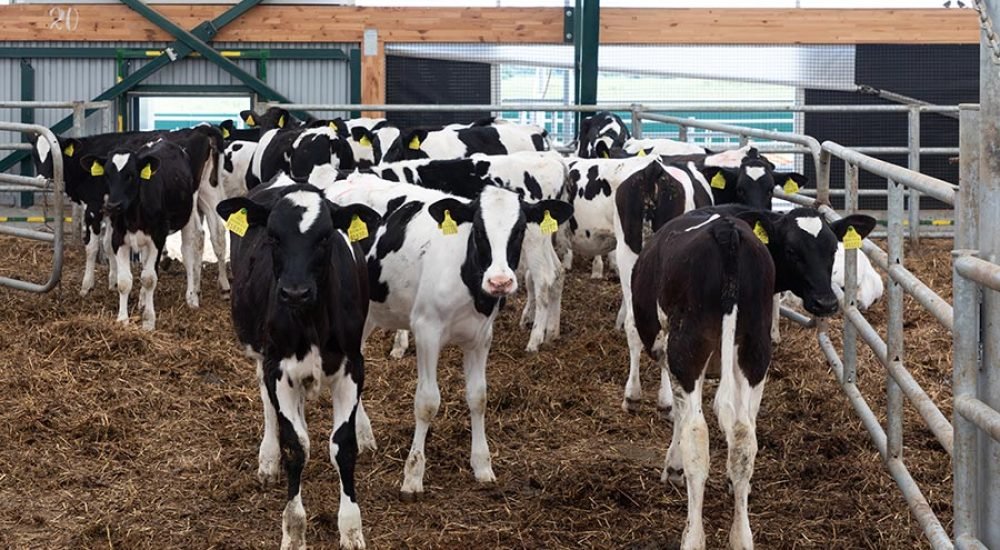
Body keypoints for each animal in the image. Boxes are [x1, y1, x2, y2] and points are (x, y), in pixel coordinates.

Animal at [83, 142, 202, 332]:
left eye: (131, 175)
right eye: (107, 175)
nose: (113, 206)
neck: (134, 215)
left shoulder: (158, 238)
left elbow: (149, 278)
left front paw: (148, 321)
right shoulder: (118, 239)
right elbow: (124, 281)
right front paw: (122, 319)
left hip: (189, 214)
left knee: (188, 253)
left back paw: (191, 297)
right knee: (146, 263)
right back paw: (142, 300)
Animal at [215, 182, 378, 550]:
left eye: (325, 237)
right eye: (273, 237)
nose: (294, 292)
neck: (311, 322)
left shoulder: (352, 366)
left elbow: (342, 445)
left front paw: (352, 529)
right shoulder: (277, 368)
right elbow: (296, 446)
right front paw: (293, 530)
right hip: (261, 354)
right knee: (269, 406)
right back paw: (268, 458)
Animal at [320, 175, 572, 502]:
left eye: (519, 230)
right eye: (478, 230)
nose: (500, 282)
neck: (470, 281)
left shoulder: (481, 337)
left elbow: (478, 397)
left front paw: (482, 466)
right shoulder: (427, 331)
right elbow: (427, 402)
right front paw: (413, 476)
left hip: (368, 316)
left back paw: (363, 436)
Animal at [632, 208, 876, 550]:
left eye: (832, 250)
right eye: (792, 250)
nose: (826, 302)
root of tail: (728, 232)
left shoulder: (667, 350)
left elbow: (684, 418)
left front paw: (674, 466)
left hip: (687, 349)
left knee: (697, 435)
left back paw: (693, 536)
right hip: (755, 350)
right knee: (744, 437)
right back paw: (742, 536)